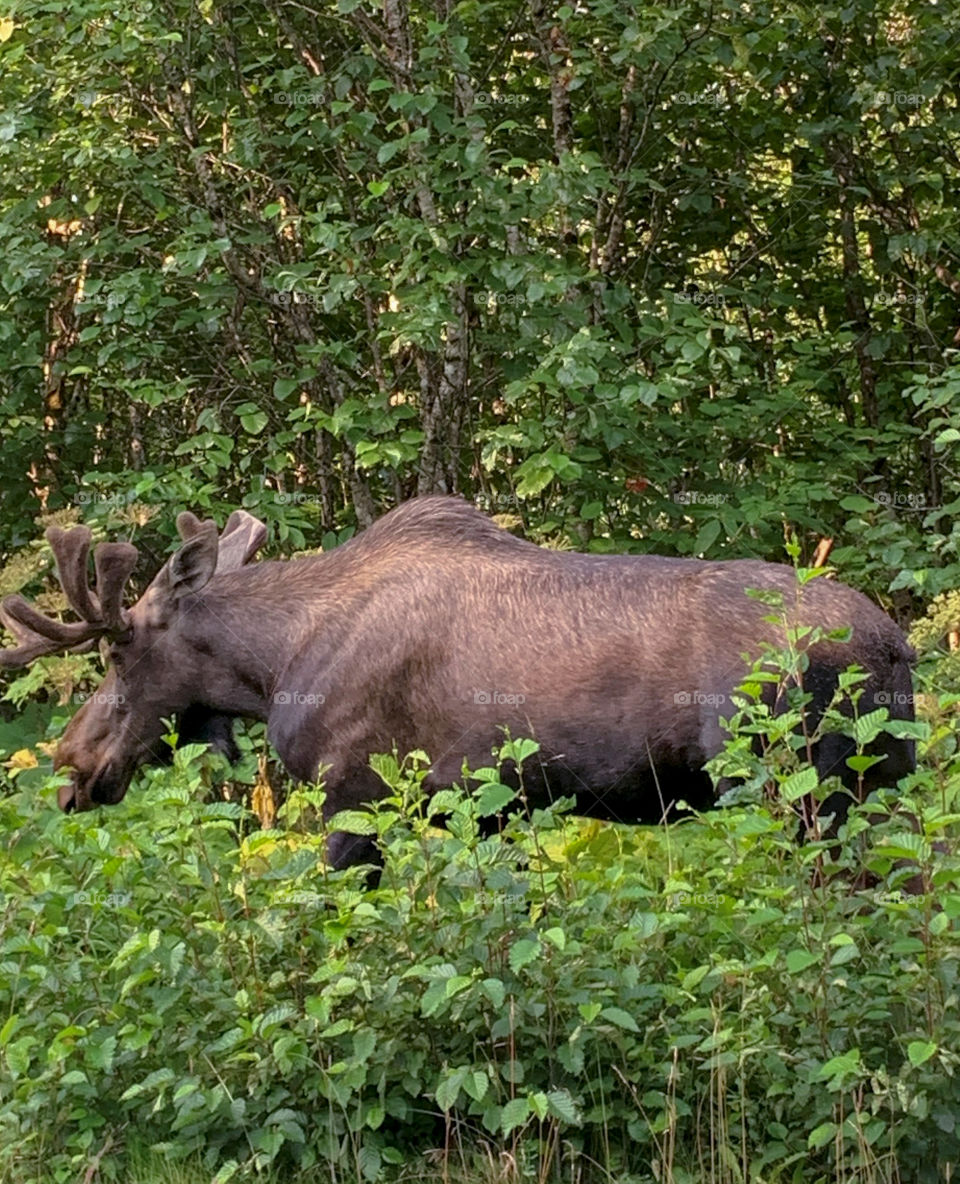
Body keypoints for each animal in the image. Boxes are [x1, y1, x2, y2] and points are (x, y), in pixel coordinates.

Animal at [0, 497, 916, 868]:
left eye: (119, 657)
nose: (71, 765)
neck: (276, 662)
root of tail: (895, 649)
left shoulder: (354, 796)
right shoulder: (487, 809)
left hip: (795, 792)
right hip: (878, 788)